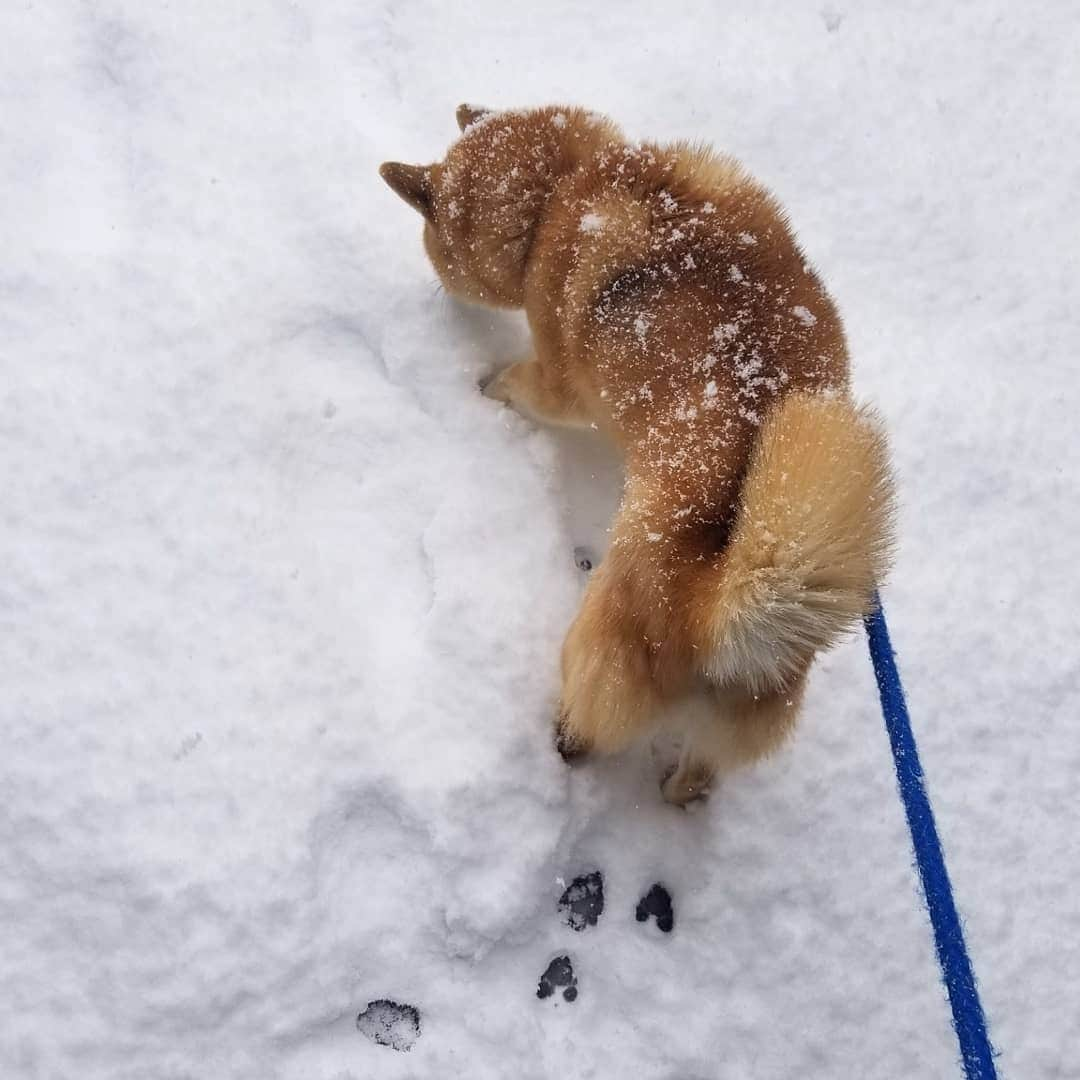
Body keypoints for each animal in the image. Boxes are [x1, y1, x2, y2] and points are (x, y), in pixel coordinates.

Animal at [380, 105, 894, 807]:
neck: (563, 188)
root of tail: (717, 609)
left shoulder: (559, 386)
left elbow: (516, 382)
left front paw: (485, 387)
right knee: (697, 777)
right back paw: (677, 795)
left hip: (592, 647)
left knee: (583, 729)